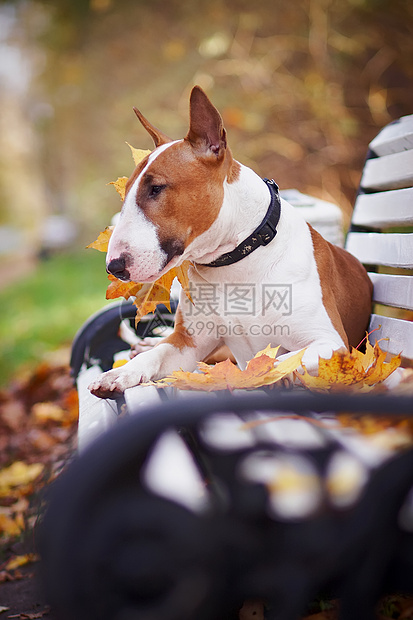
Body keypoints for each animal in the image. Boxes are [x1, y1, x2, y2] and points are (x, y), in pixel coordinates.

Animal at [88, 86, 372, 398]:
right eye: (126, 192)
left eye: (156, 188)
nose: (114, 267)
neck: (235, 264)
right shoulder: (190, 342)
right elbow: (159, 354)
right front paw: (119, 373)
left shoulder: (332, 343)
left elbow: (275, 359)